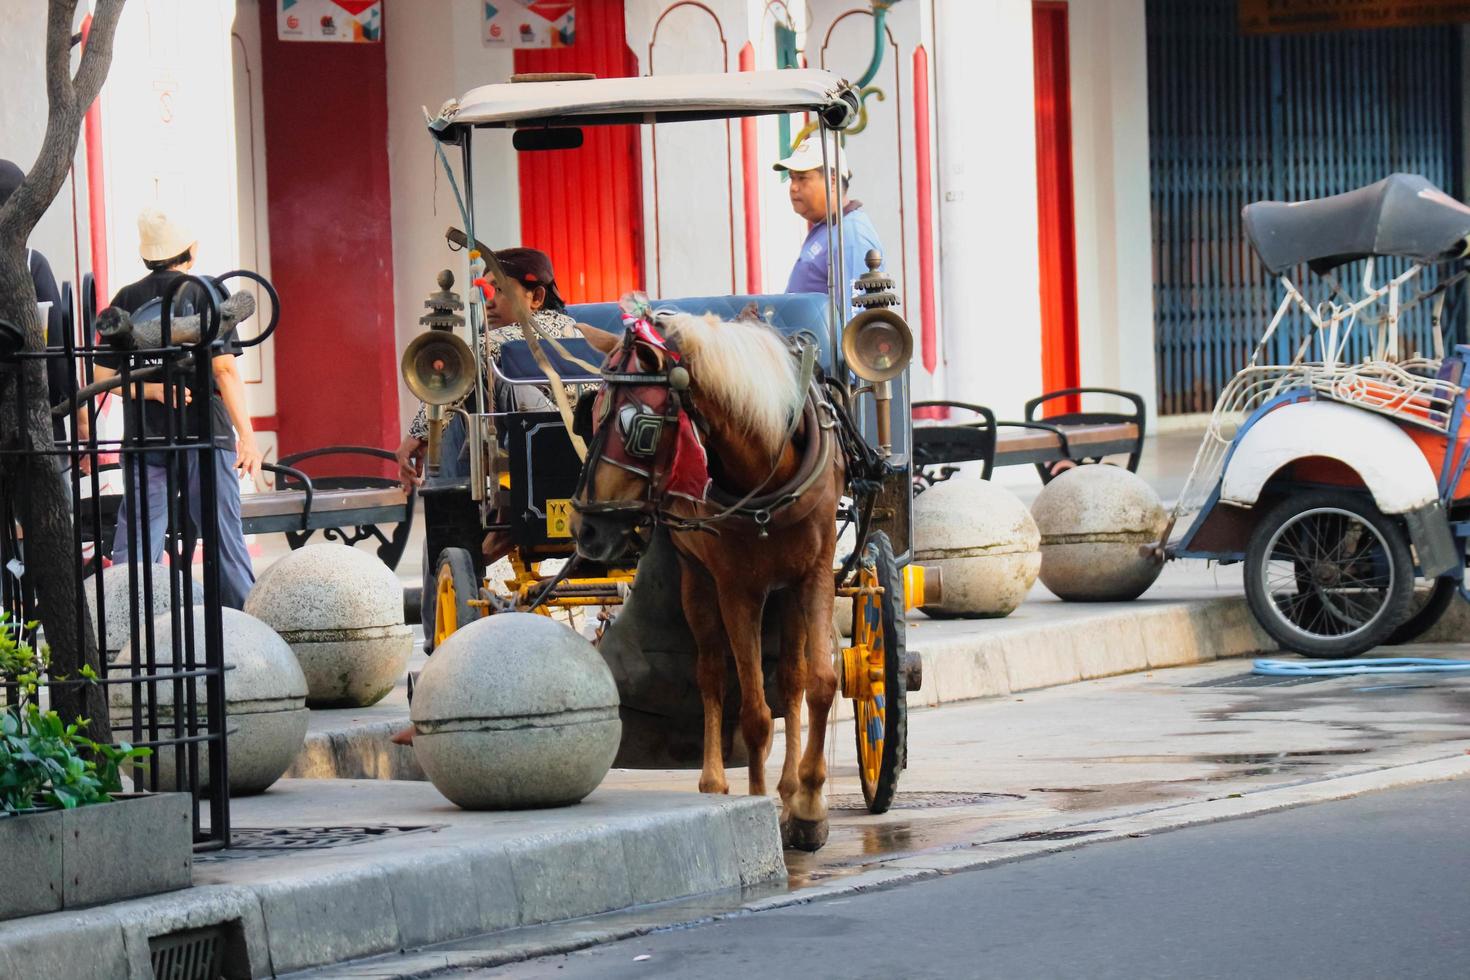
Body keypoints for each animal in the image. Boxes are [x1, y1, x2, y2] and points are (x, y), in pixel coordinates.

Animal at [576, 314, 852, 852]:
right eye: (591, 414)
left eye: (638, 428)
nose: (588, 529)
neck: (769, 472)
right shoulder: (735, 588)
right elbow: (754, 713)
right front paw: (759, 807)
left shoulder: (814, 571)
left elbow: (820, 684)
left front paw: (807, 805)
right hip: (698, 584)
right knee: (711, 672)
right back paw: (716, 782)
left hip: (783, 593)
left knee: (790, 679)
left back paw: (789, 790)